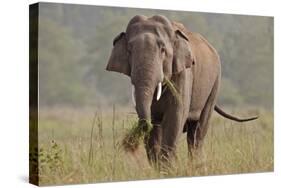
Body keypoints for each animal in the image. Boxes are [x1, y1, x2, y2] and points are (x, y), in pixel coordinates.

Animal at [104, 14, 256, 167]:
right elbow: (155, 126)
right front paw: (159, 167)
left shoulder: (183, 74)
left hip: (215, 83)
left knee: (197, 133)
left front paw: (168, 167)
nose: (129, 142)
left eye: (163, 50)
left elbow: (175, 116)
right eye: (129, 51)